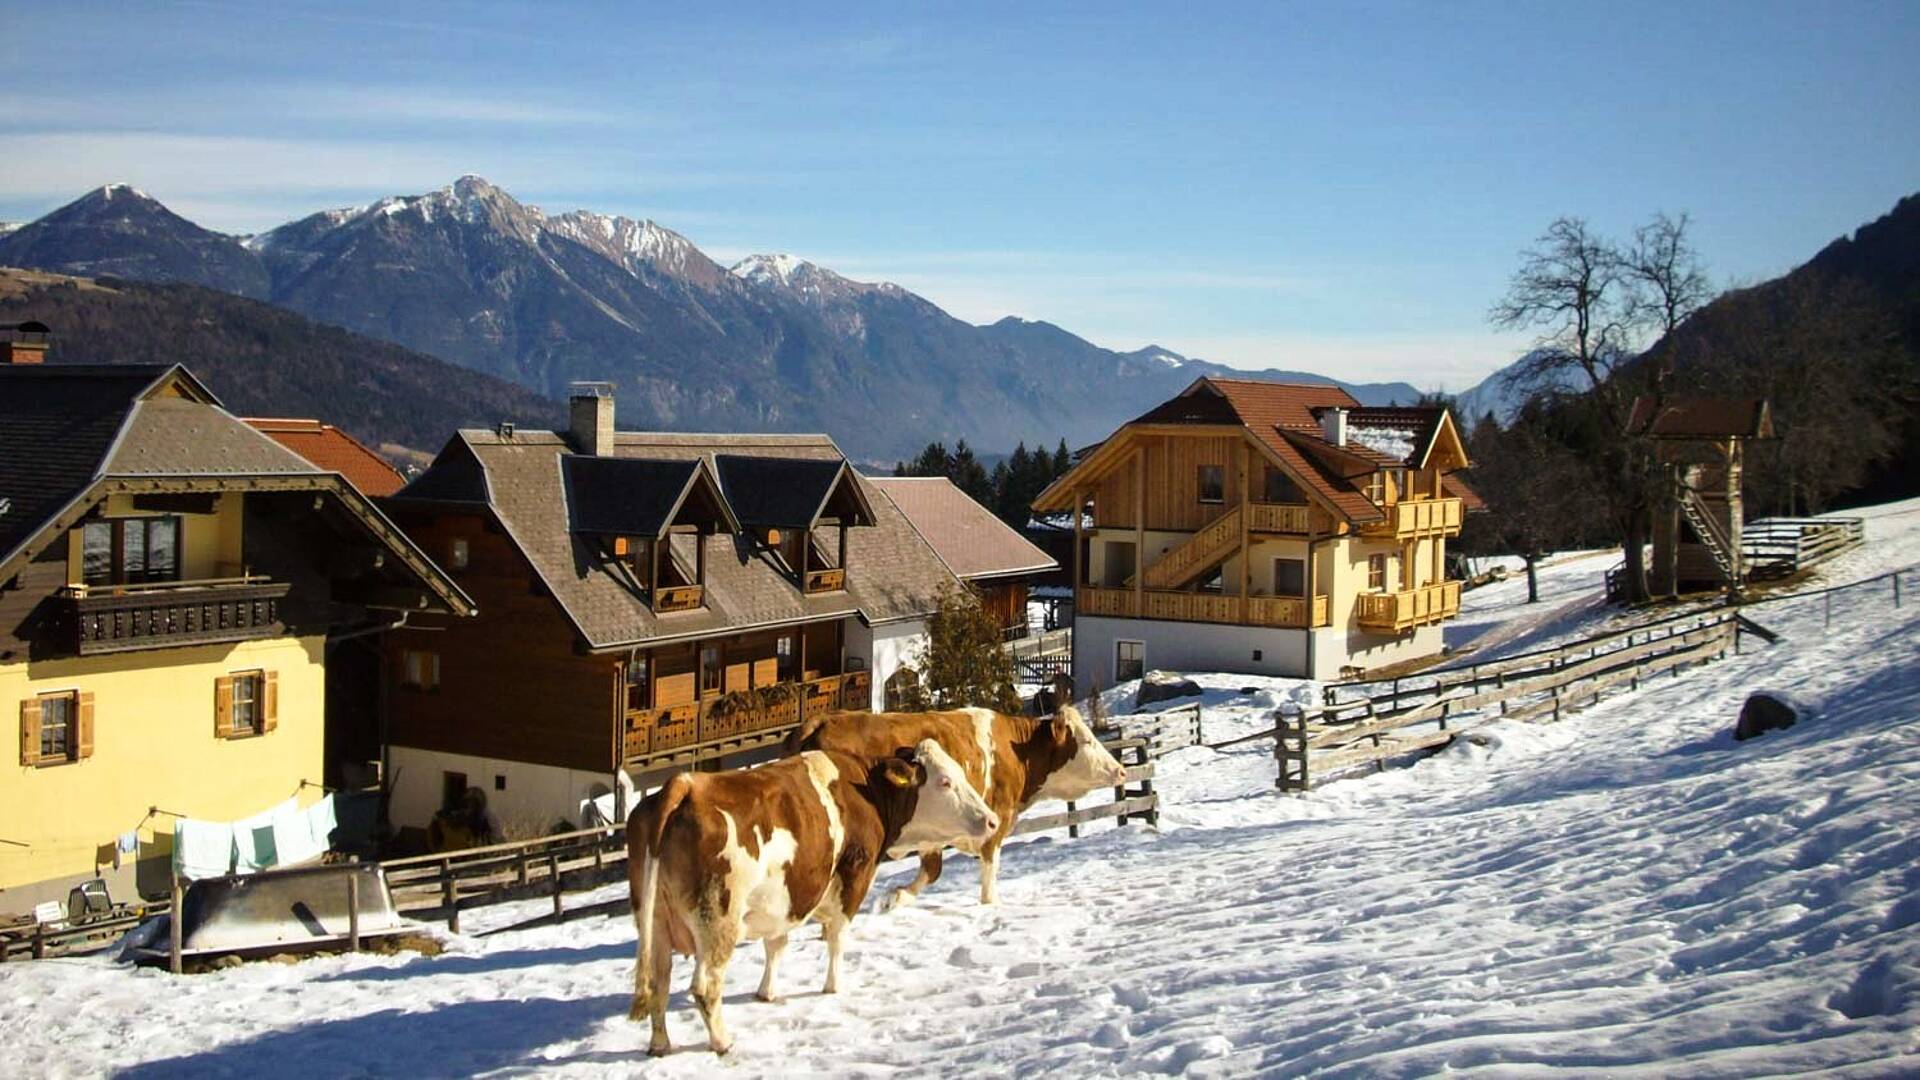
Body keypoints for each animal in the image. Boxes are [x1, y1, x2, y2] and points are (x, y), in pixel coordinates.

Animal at [629, 734, 998, 1053]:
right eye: (945, 781)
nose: (992, 820)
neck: (866, 791)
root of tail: (685, 785)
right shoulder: (854, 875)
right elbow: (837, 936)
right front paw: (833, 986)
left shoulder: (783, 899)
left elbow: (776, 944)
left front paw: (766, 992)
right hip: (719, 920)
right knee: (705, 986)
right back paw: (723, 1042)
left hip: (653, 921)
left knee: (658, 982)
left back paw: (659, 1045)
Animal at [791, 703, 1121, 903]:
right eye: (1088, 741)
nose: (1120, 770)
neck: (1016, 753)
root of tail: (826, 718)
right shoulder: (997, 821)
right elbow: (989, 872)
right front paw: (990, 905)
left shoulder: (934, 837)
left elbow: (932, 871)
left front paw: (895, 898)